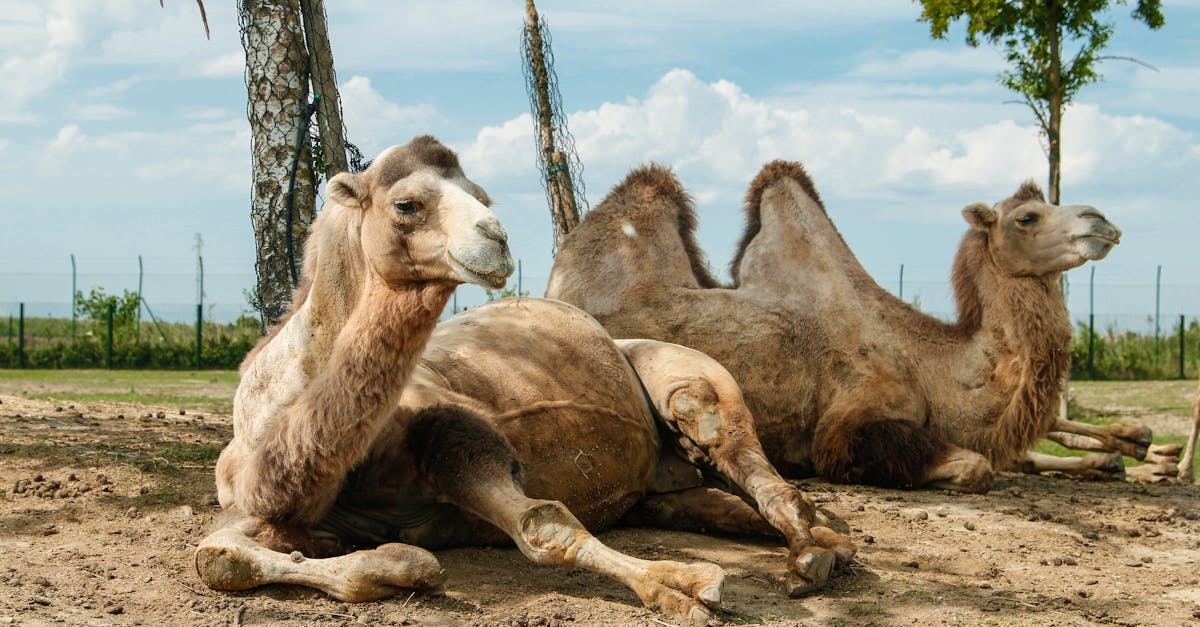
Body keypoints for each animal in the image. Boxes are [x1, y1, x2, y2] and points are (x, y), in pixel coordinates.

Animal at [194, 137, 856, 623]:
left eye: (482, 195)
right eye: (406, 204)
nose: (497, 239)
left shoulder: (456, 432)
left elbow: (545, 524)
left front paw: (685, 585)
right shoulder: (255, 504)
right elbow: (219, 557)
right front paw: (400, 563)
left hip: (693, 380)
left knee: (750, 463)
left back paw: (813, 556)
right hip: (659, 491)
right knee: (720, 504)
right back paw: (833, 540)